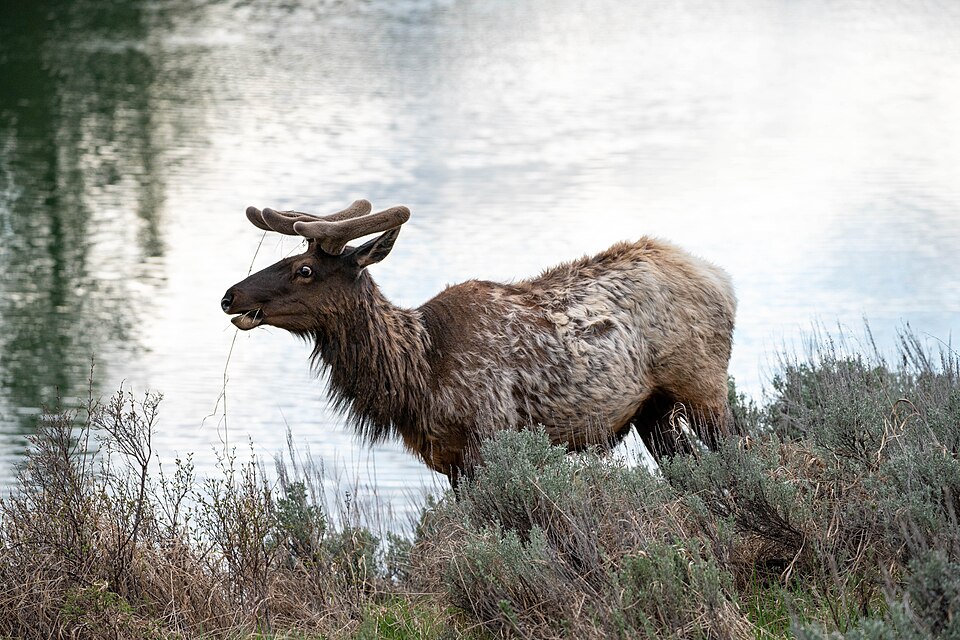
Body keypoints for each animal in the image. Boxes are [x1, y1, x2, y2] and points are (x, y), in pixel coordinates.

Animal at [221, 200, 738, 488]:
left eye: (304, 270)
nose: (229, 296)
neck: (417, 374)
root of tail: (721, 278)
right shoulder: (448, 461)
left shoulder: (489, 437)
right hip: (651, 410)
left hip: (704, 387)